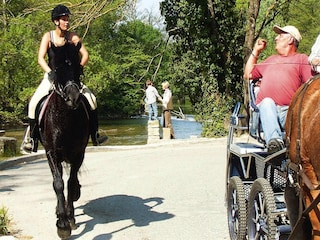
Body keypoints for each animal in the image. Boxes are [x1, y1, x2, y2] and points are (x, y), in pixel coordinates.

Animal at [39, 78, 90, 238]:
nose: (73, 98)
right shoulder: (51, 153)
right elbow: (58, 183)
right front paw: (62, 224)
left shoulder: (79, 154)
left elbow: (71, 182)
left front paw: (70, 218)